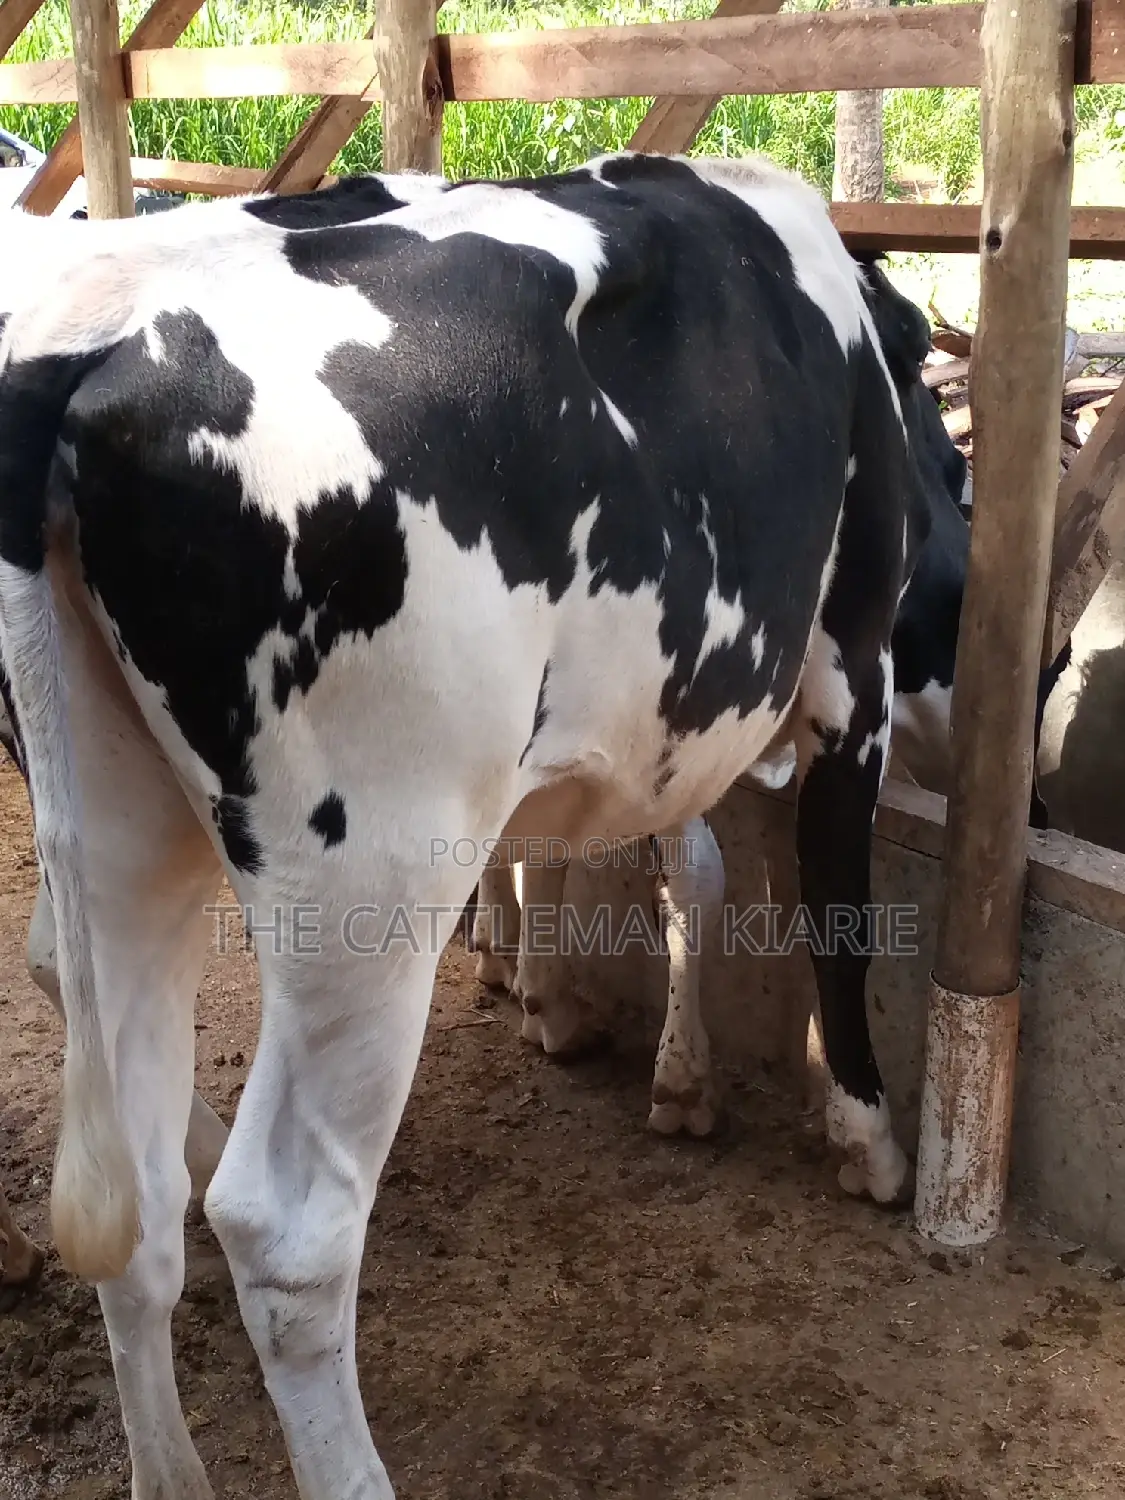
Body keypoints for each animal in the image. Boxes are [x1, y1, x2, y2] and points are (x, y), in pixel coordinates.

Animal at [0, 149, 1032, 1494]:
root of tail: (86, 344)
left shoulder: (653, 704)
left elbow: (674, 867)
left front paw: (639, 1052)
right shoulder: (848, 667)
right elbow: (834, 916)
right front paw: (866, 1140)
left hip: (124, 839)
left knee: (132, 1202)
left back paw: (169, 1469)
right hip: (375, 869)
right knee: (284, 1232)